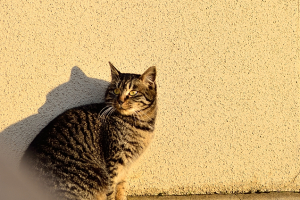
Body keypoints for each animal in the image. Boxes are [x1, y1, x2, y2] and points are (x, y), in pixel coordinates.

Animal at [20, 63, 157, 200]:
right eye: (116, 91)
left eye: (133, 92)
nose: (120, 101)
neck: (142, 124)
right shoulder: (114, 163)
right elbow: (112, 191)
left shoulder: (125, 167)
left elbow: (121, 189)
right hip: (96, 175)